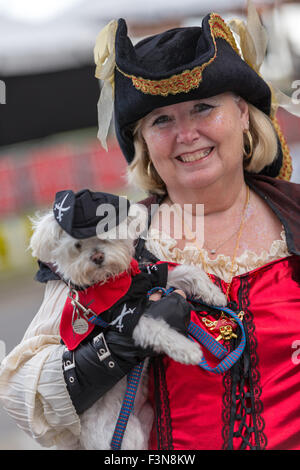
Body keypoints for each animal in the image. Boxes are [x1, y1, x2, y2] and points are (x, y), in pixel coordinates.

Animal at [29, 189, 226, 450]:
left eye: (106, 234)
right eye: (78, 245)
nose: (97, 256)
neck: (114, 283)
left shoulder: (151, 279)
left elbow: (186, 272)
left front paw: (215, 294)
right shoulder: (127, 320)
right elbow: (158, 330)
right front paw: (188, 351)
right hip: (126, 436)